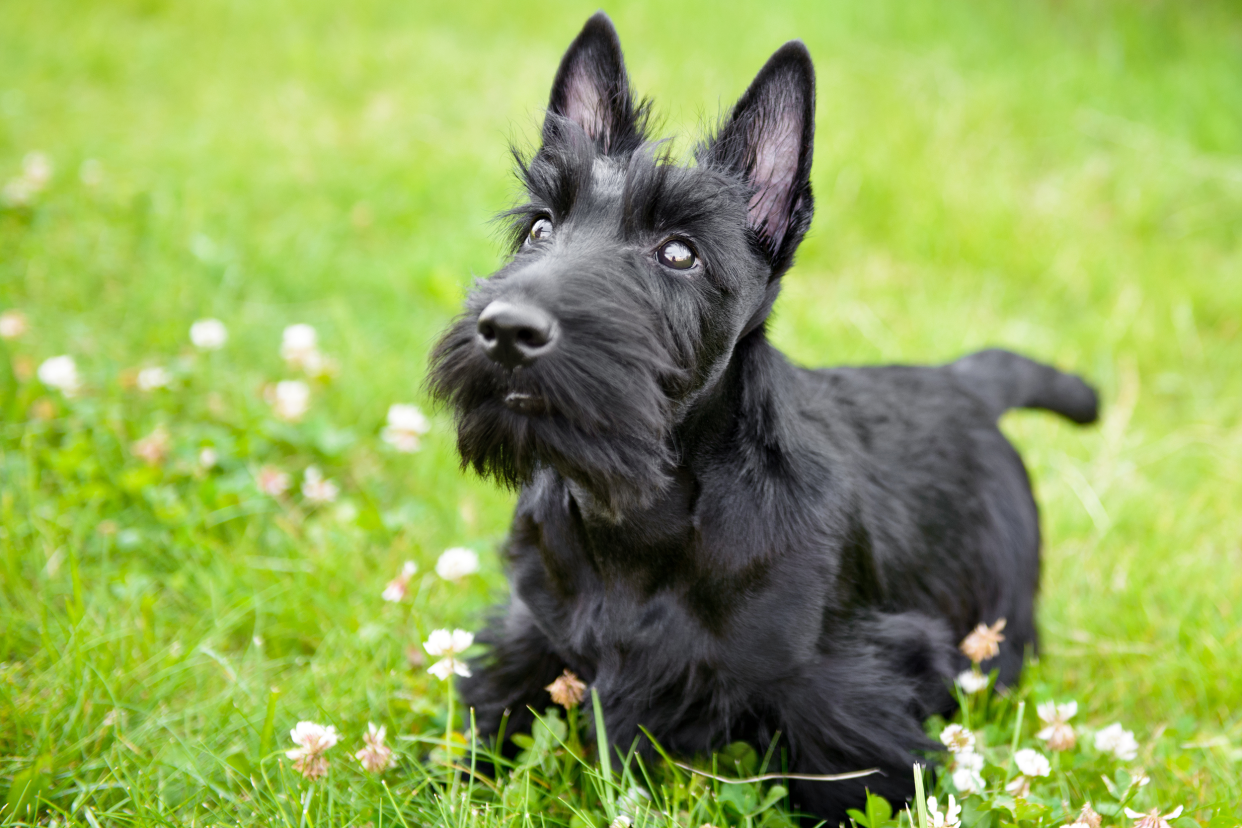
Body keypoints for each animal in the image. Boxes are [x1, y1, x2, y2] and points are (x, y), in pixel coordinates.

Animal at [429, 14, 1097, 824]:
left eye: (678, 252)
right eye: (539, 228)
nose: (506, 330)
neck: (640, 522)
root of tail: (964, 379)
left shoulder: (844, 697)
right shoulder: (531, 641)